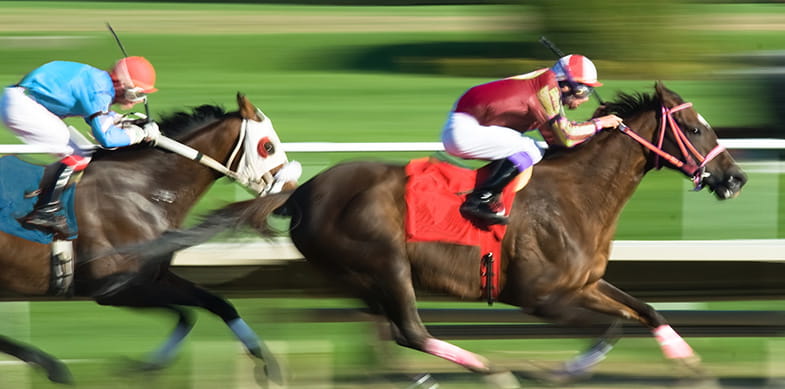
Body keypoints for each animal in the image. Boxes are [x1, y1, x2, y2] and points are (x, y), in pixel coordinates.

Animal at [0, 92, 298, 384]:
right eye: (268, 147)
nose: (291, 191)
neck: (143, 190)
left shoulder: (153, 275)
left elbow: (213, 305)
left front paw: (267, 362)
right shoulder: (114, 289)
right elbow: (188, 312)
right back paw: (51, 366)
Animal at [130, 82, 748, 384]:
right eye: (696, 128)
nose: (735, 177)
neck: (577, 194)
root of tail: (302, 191)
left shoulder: (588, 283)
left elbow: (647, 311)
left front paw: (689, 361)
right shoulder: (542, 298)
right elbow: (613, 328)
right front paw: (560, 370)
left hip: (363, 276)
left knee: (386, 333)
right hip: (385, 261)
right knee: (408, 329)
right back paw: (489, 371)